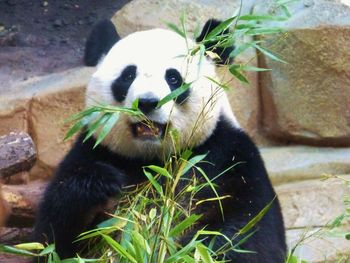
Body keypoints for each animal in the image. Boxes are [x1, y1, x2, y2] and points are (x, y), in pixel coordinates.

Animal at [32, 19, 286, 263]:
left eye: (173, 78)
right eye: (128, 76)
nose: (147, 102)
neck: (154, 159)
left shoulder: (228, 156)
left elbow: (251, 231)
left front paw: (195, 251)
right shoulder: (95, 150)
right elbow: (51, 240)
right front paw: (100, 183)